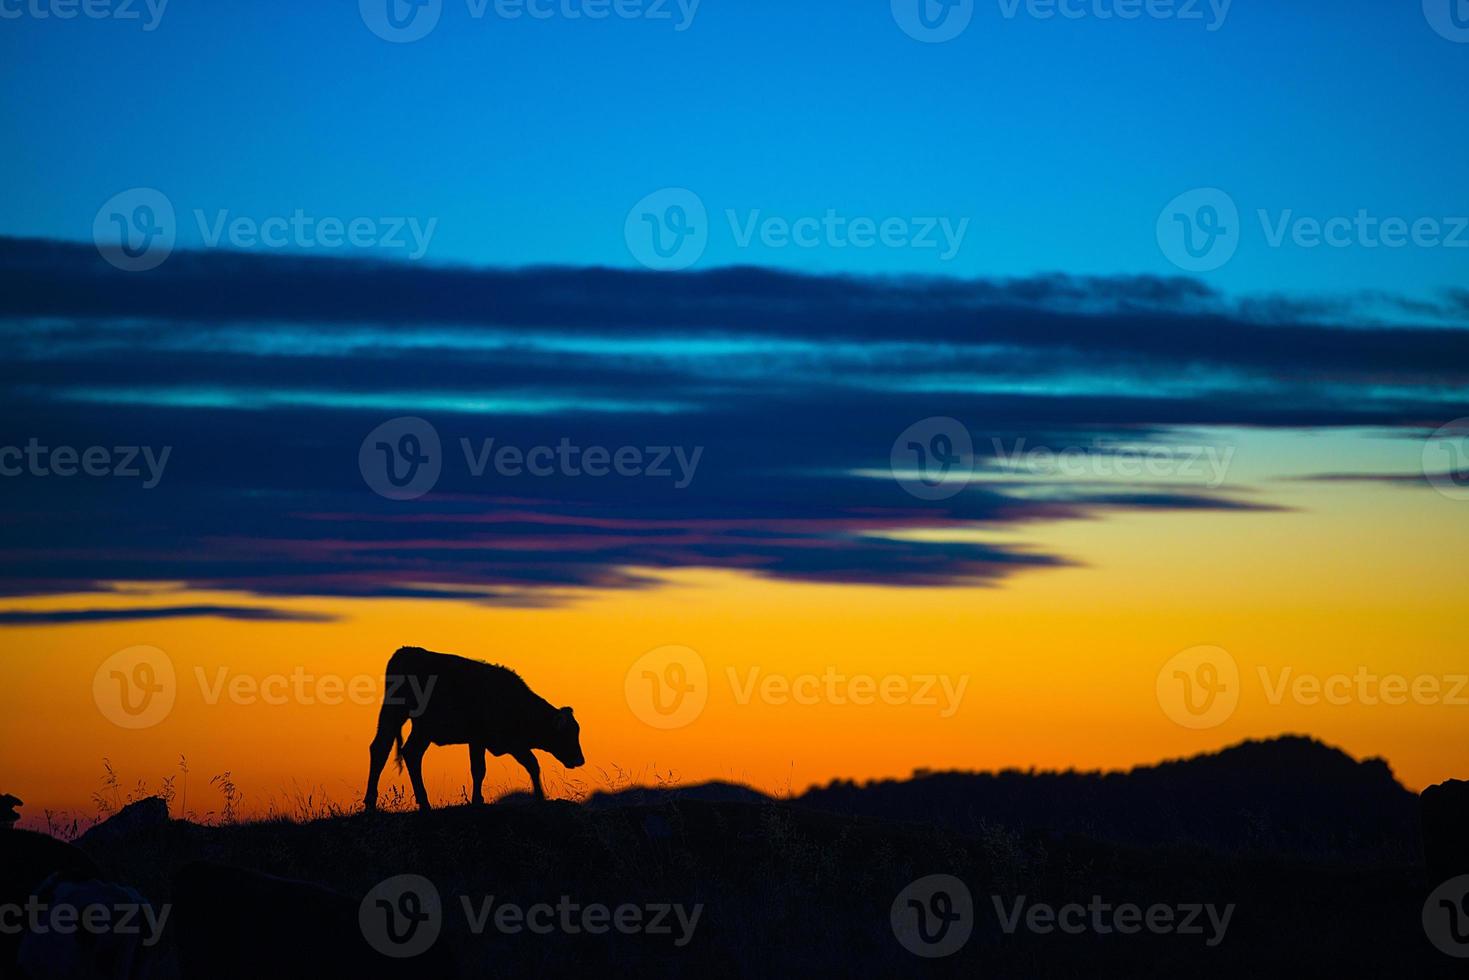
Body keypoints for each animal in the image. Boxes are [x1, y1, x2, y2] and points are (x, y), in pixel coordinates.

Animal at [362, 643, 584, 811]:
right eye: (568, 734)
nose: (580, 760)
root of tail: (406, 651)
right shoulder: (501, 741)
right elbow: (523, 764)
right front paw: (539, 796)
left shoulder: (483, 741)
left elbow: (484, 769)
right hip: (411, 722)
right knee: (399, 751)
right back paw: (419, 802)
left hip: (405, 721)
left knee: (391, 749)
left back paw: (376, 803)